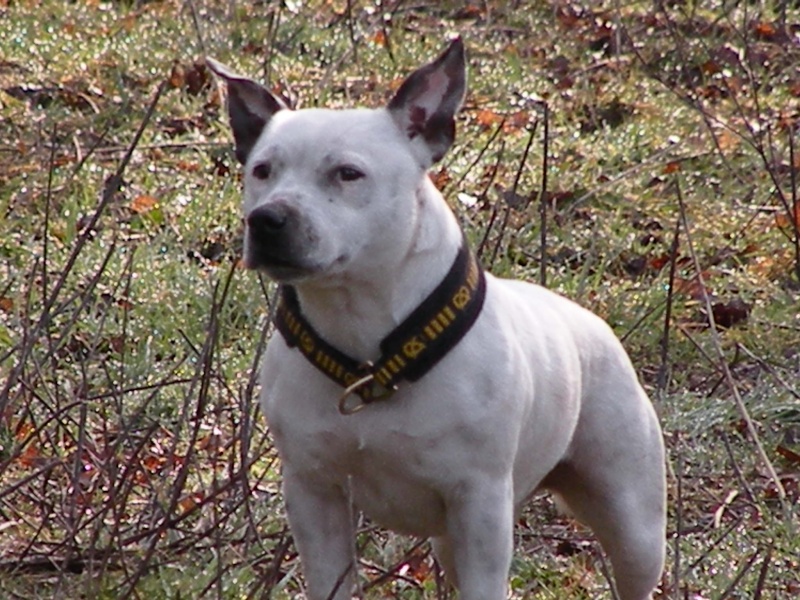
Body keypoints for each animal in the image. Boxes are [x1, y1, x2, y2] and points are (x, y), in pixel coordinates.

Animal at [208, 37, 668, 600]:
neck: (368, 351)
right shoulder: (315, 495)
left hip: (633, 521)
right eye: (261, 171)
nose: (267, 218)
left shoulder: (479, 505)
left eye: (347, 173)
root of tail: (590, 321)